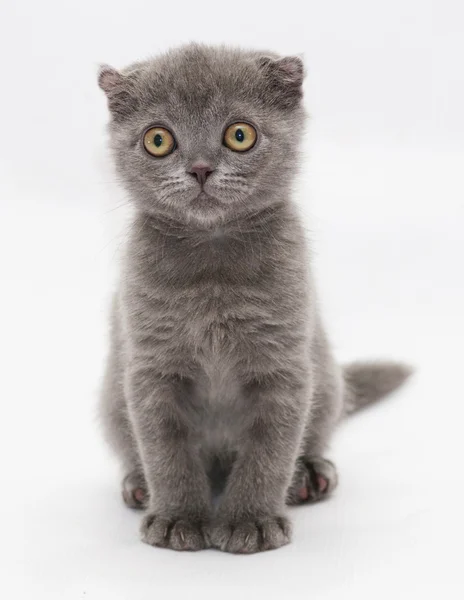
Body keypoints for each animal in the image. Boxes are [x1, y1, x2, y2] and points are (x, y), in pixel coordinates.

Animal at [97, 44, 410, 556]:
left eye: (239, 134)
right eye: (158, 140)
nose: (200, 168)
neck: (212, 269)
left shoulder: (283, 363)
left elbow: (270, 449)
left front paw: (251, 522)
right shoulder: (151, 366)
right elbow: (165, 448)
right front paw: (177, 518)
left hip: (327, 380)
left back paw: (310, 475)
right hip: (111, 396)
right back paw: (138, 484)